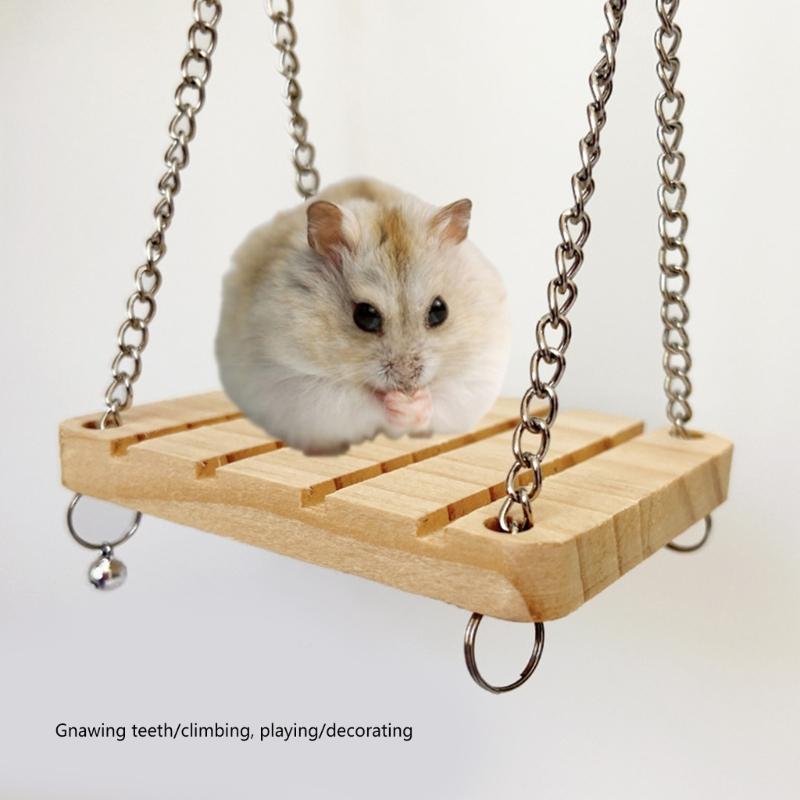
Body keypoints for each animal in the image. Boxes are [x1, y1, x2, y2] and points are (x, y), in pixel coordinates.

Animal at [215, 177, 511, 455]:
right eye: (365, 315)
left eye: (440, 310)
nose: (407, 384)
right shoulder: (301, 384)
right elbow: (363, 401)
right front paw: (397, 403)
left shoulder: (476, 373)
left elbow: (441, 397)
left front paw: (414, 402)